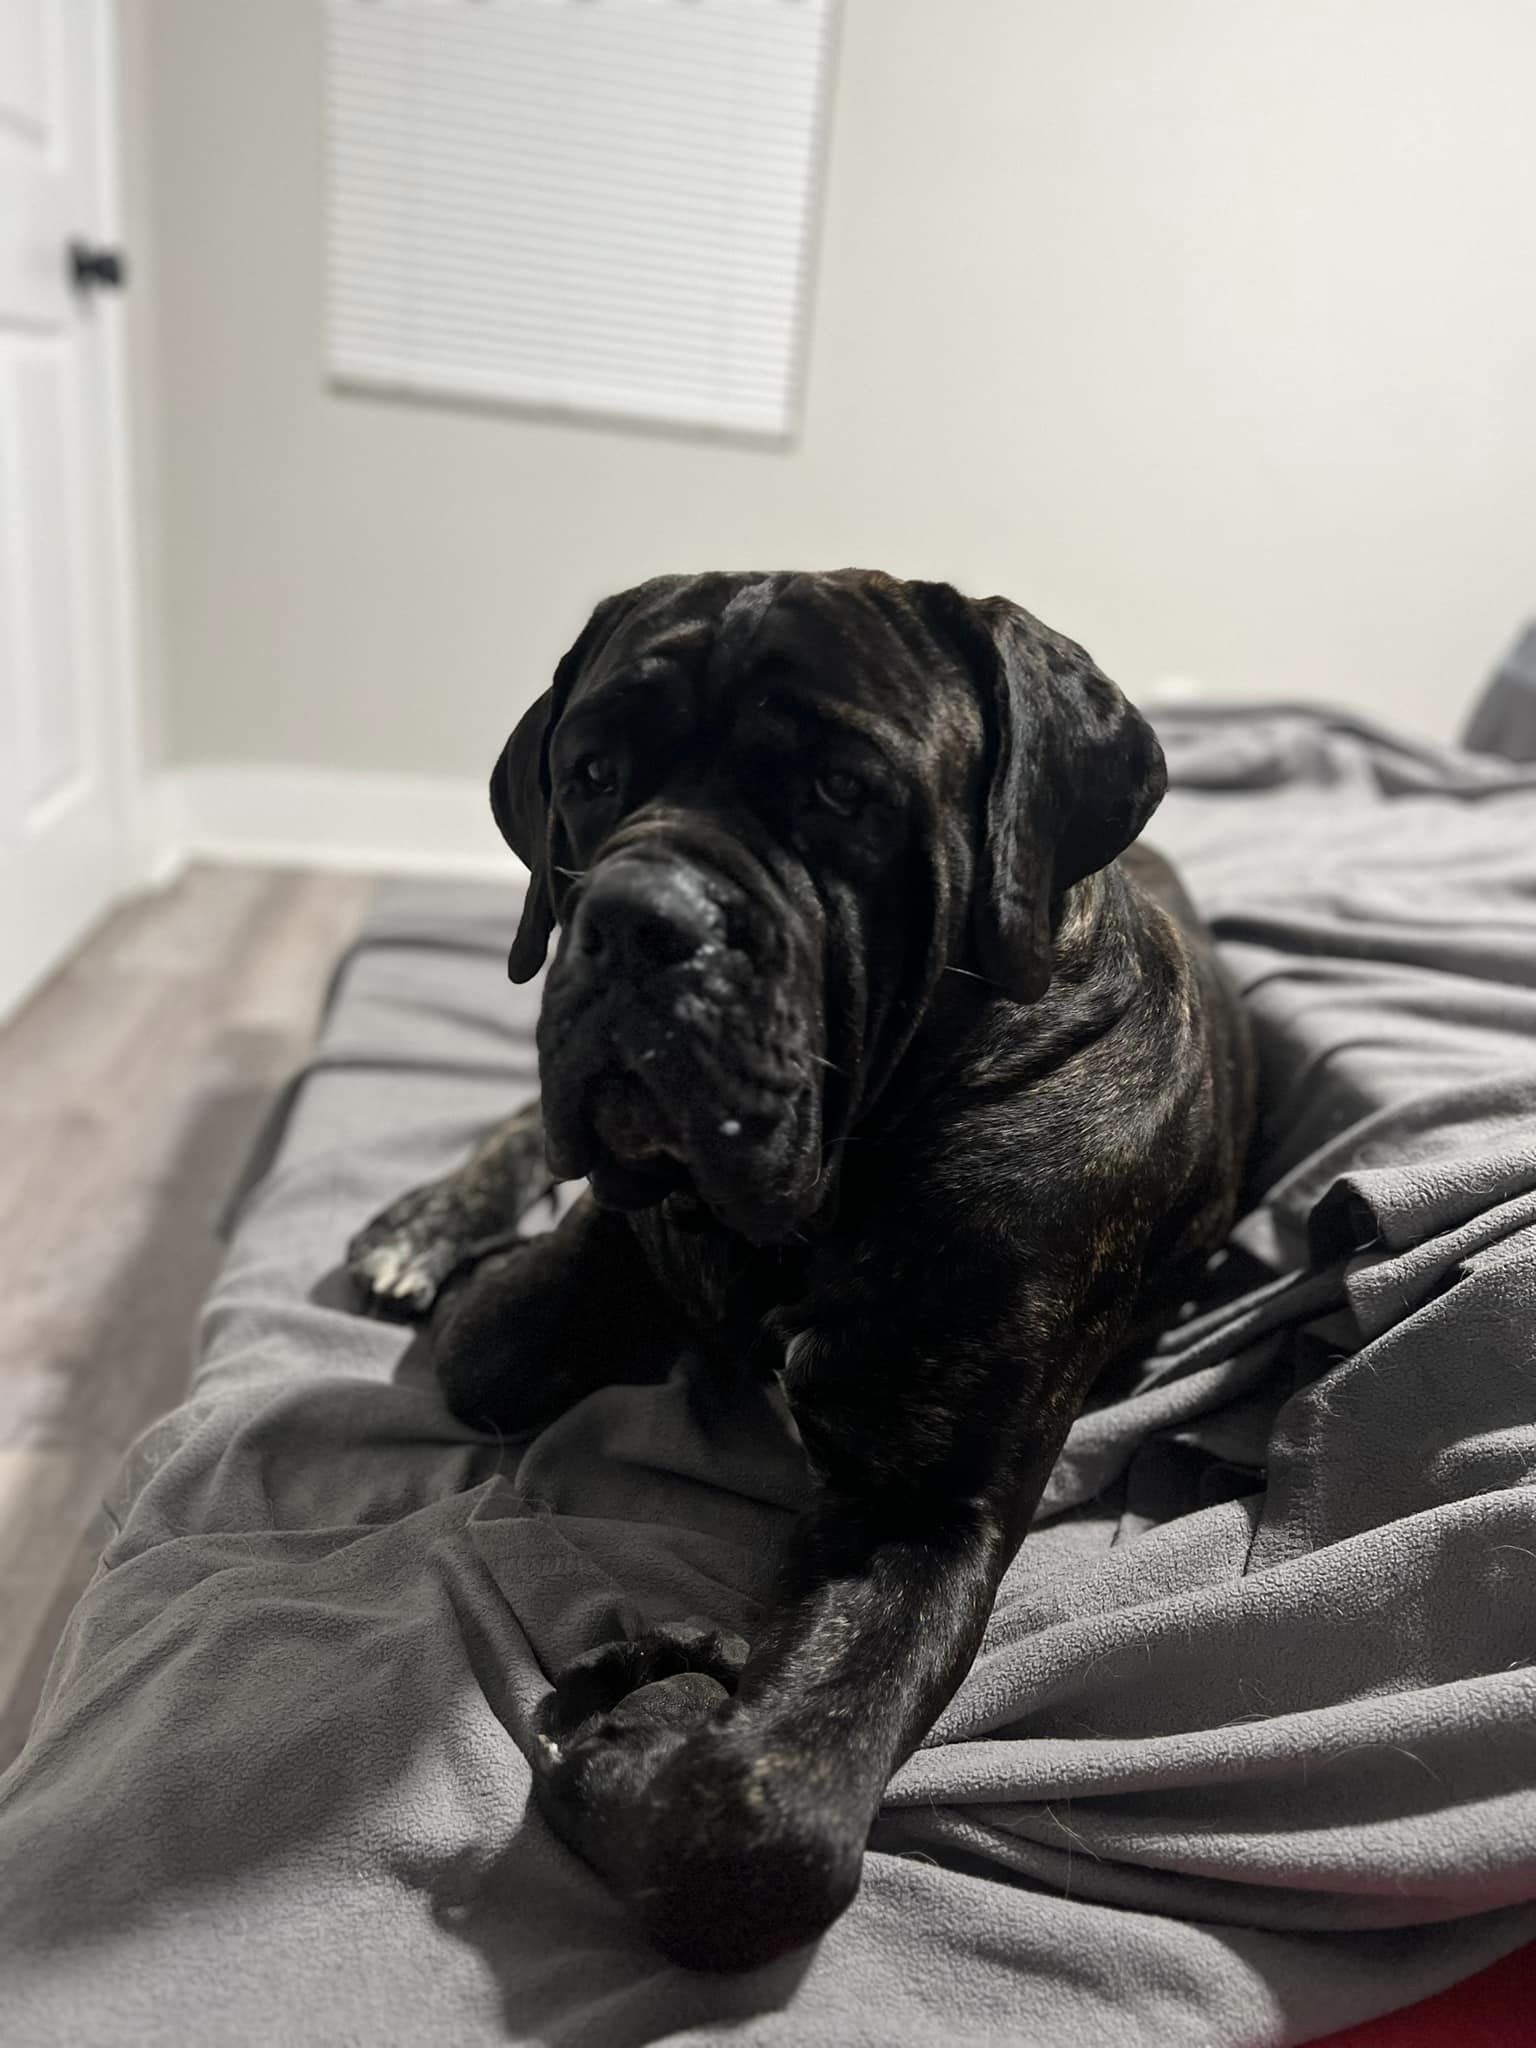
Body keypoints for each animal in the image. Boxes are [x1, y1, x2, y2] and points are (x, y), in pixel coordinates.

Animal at [352, 569, 1261, 1974]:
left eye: (842, 791)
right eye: (592, 772)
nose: (635, 919)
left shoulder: (923, 1514)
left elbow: (762, 1824)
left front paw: (643, 1727)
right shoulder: (559, 1287)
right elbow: (511, 1326)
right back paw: (427, 1220)